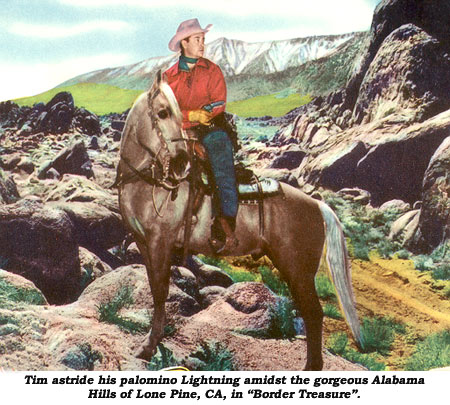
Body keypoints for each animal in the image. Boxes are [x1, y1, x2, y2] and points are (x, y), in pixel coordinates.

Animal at [116, 72, 362, 370]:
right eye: (162, 112)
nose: (180, 163)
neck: (144, 183)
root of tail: (317, 204)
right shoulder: (143, 243)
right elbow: (155, 289)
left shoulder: (159, 243)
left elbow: (161, 292)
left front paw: (148, 347)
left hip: (298, 270)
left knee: (314, 313)